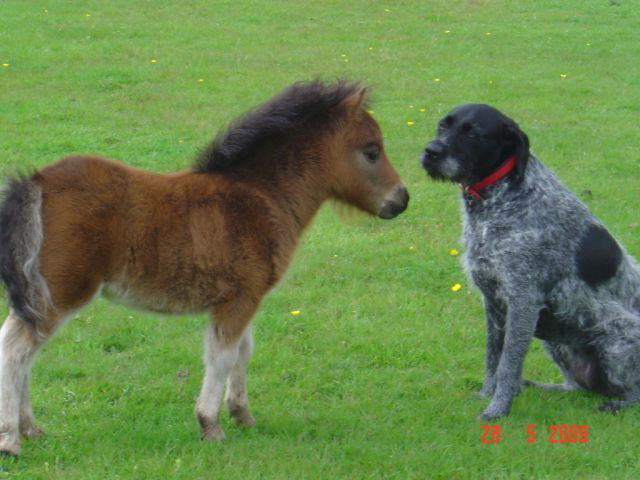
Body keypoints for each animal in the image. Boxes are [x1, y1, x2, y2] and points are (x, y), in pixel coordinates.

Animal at [420, 104, 640, 420]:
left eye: (473, 132)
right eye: (443, 126)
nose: (431, 151)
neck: (498, 199)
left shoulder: (522, 301)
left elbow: (508, 363)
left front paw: (497, 408)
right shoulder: (494, 303)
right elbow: (493, 358)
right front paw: (489, 394)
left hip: (616, 339)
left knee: (634, 393)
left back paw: (617, 404)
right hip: (555, 341)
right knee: (575, 387)